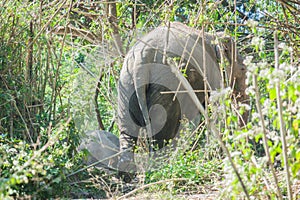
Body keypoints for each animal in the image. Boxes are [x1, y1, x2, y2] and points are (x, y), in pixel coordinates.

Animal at [116, 21, 247, 181]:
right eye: (243, 69)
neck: (213, 35)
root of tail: (142, 59)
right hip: (168, 83)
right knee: (163, 130)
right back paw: (161, 170)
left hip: (126, 83)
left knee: (128, 129)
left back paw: (126, 175)